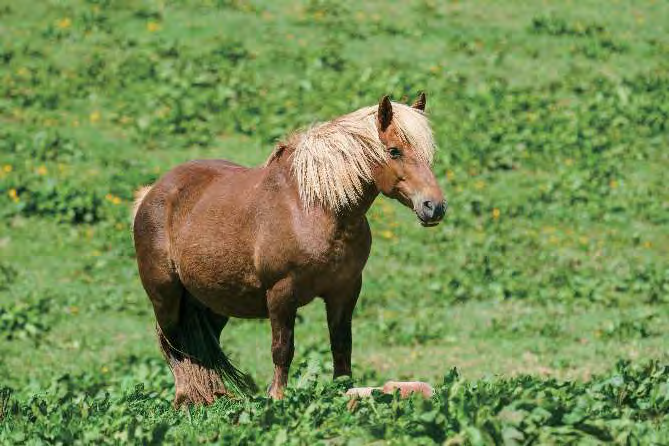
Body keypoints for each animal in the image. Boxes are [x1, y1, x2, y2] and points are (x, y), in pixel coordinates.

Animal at [132, 93, 446, 406]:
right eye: (394, 151)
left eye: (429, 154)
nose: (435, 207)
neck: (313, 208)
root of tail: (150, 193)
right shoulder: (281, 293)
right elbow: (283, 349)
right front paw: (277, 398)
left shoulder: (345, 290)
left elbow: (341, 346)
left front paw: (344, 395)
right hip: (165, 297)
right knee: (173, 345)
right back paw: (185, 398)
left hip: (214, 302)